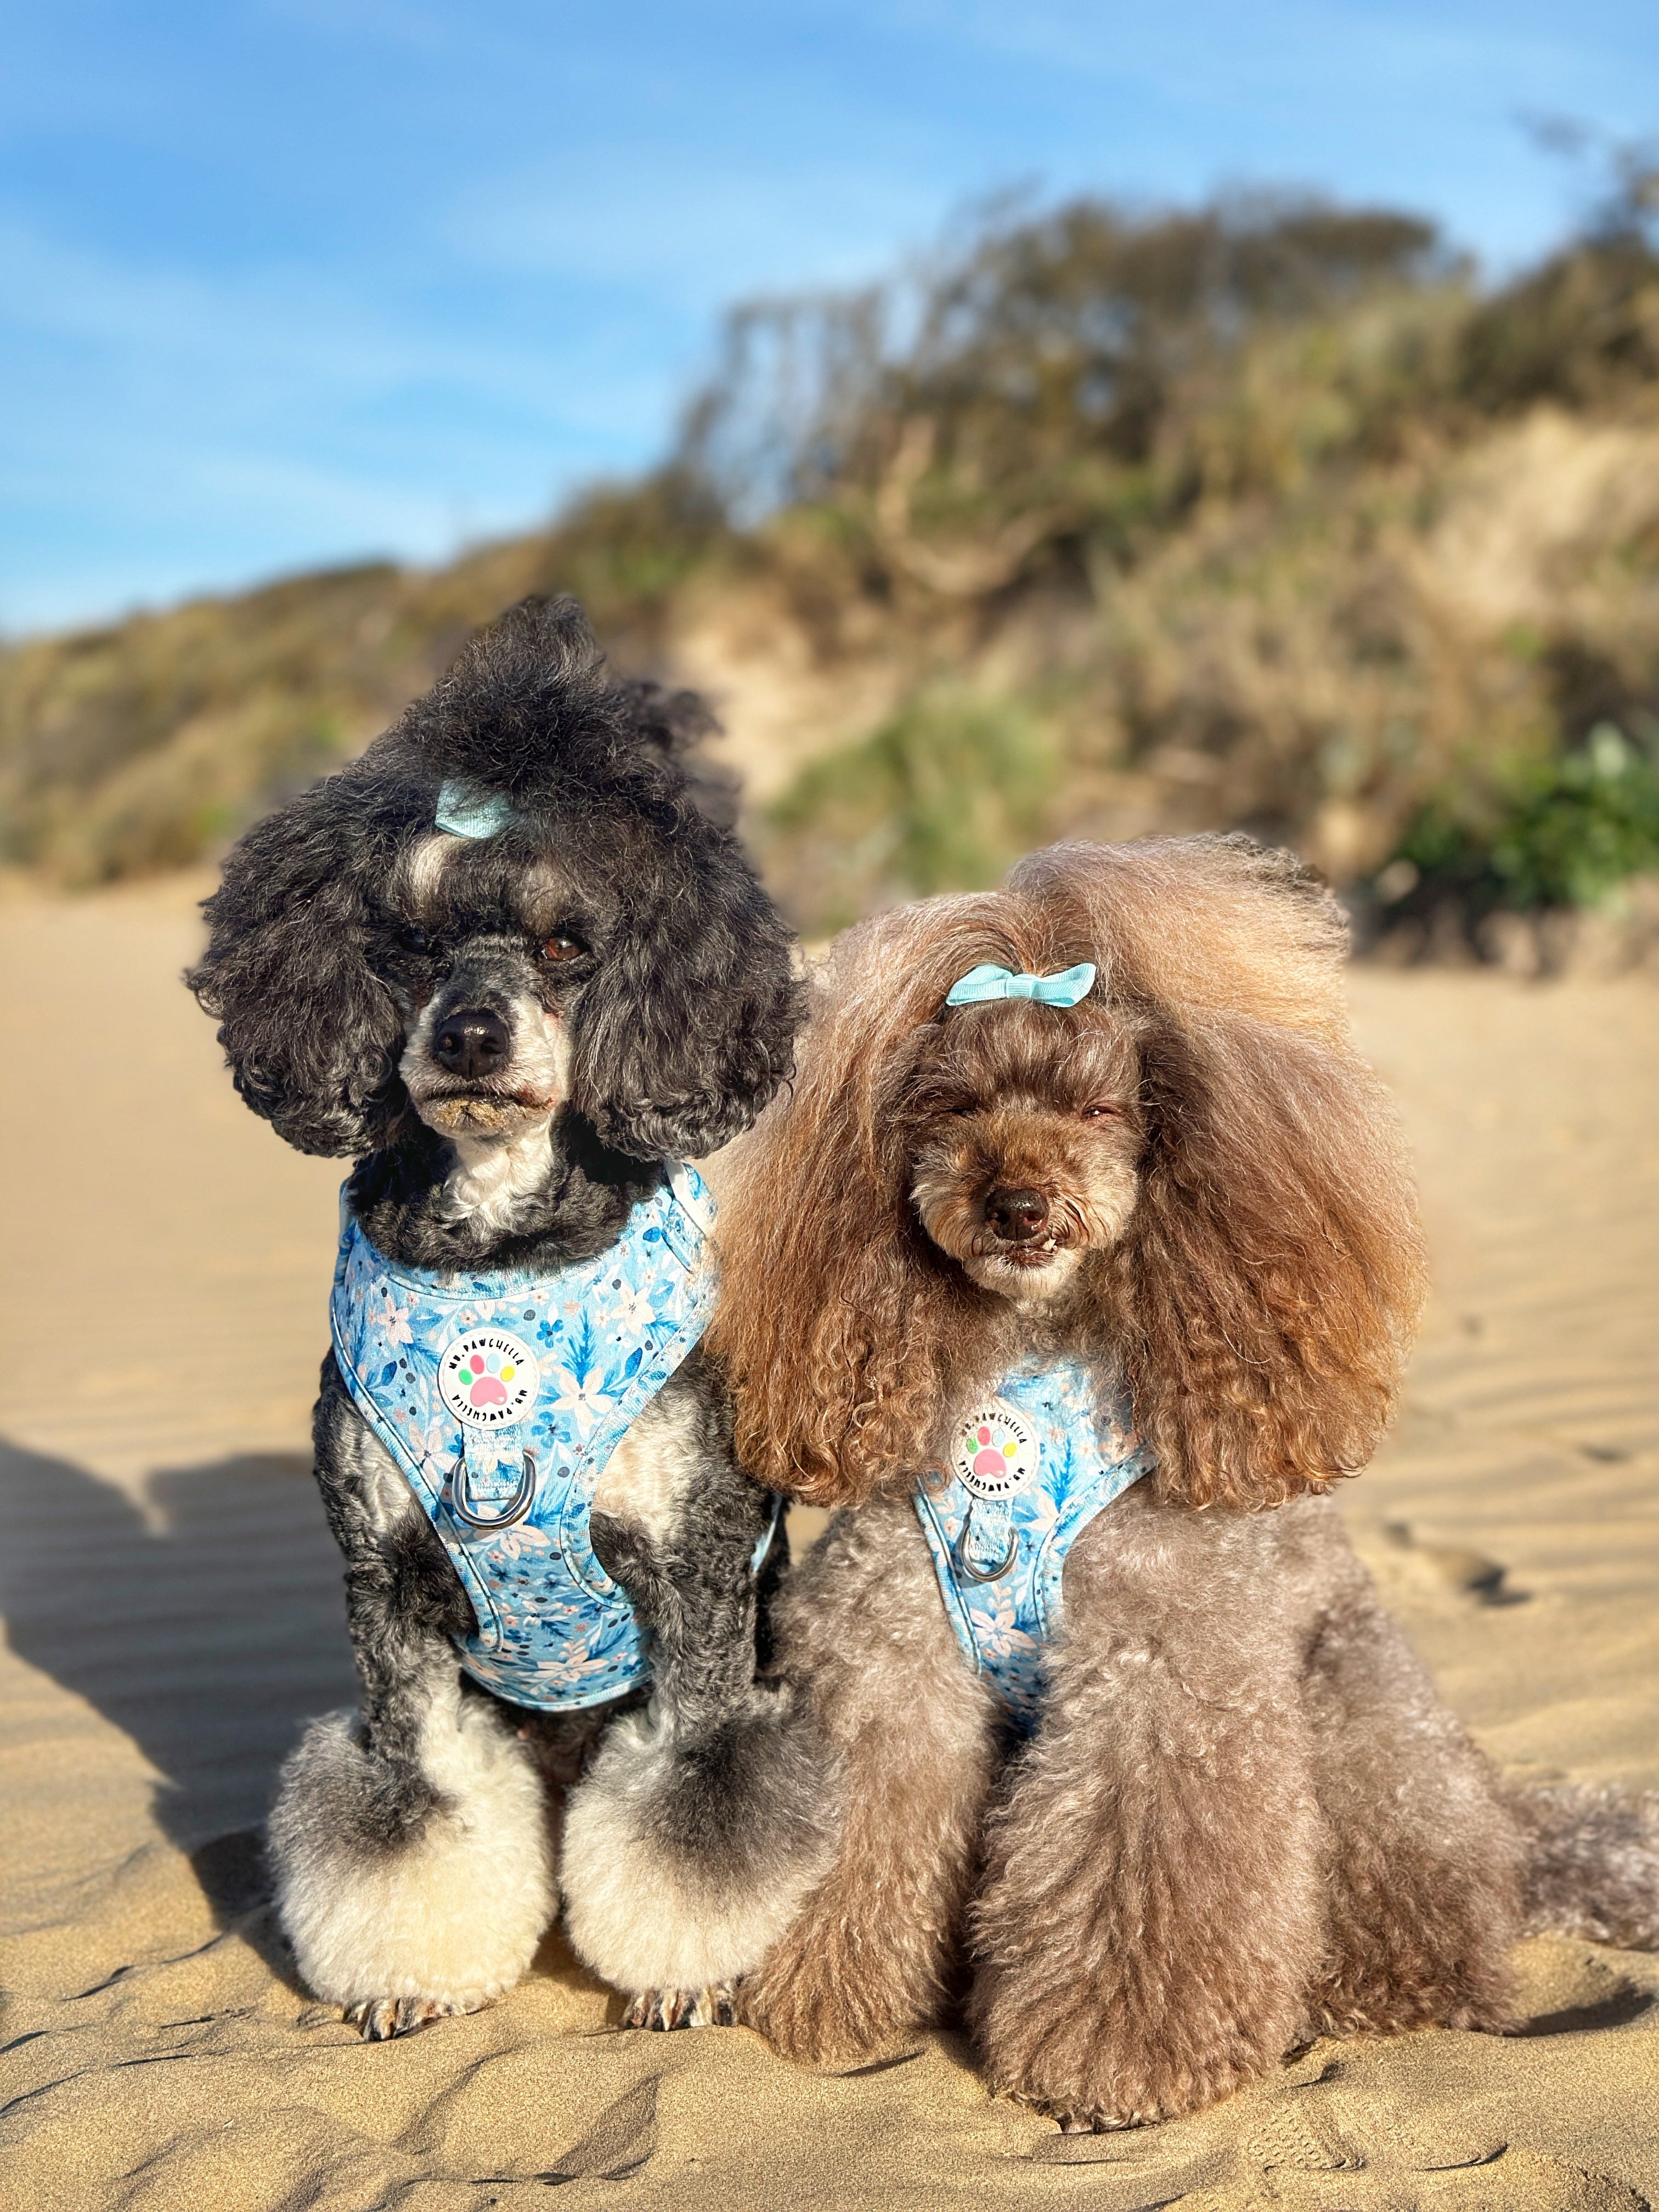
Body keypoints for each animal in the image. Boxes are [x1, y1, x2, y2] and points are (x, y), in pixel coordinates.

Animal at [188, 596, 827, 2038]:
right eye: (410, 943)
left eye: (568, 945)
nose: (471, 1036)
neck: (502, 1257)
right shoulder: (390, 1587)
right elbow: (415, 1803)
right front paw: (404, 1977)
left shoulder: (694, 1580)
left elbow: (690, 1805)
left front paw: (679, 1974)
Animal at [632, 833, 1659, 2130]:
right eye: (953, 1104)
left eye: (1098, 1107)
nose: (1016, 1203)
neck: (1023, 1378)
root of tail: (1505, 1818)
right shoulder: (890, 1656)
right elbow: (867, 1821)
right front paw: (823, 1992)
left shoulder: (1165, 1669)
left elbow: (1143, 1858)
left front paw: (1117, 2056)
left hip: (1363, 1725)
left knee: (1430, 1912)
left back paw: (1373, 1982)